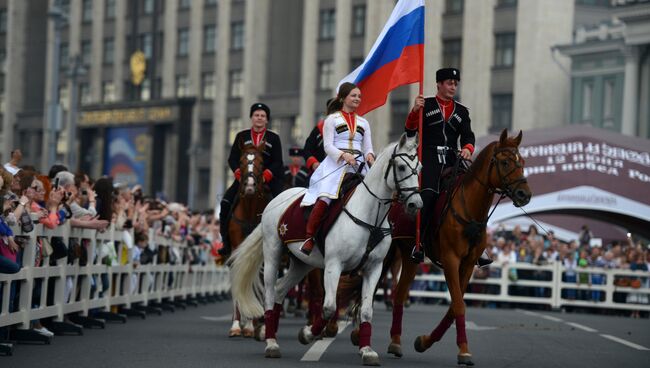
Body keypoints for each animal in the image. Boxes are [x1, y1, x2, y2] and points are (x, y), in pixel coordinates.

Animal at [230, 132, 422, 366]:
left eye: (419, 167)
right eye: (401, 167)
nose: (416, 204)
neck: (370, 217)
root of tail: (276, 200)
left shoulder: (373, 268)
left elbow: (366, 310)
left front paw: (367, 350)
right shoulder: (333, 265)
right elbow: (329, 306)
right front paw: (308, 333)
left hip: (301, 264)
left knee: (279, 289)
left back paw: (269, 332)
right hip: (273, 253)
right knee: (269, 293)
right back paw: (271, 342)